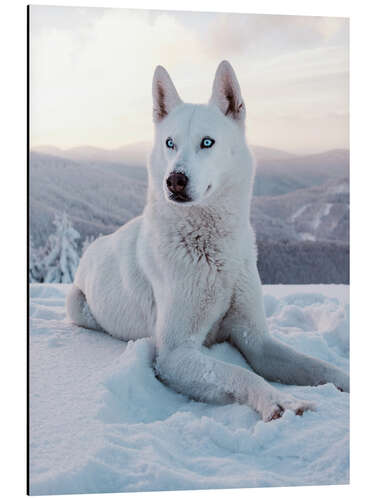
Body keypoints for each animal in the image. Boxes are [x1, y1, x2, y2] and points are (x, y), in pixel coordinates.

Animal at [67, 61, 350, 422]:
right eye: (170, 143)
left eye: (207, 142)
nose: (174, 180)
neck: (212, 250)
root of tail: (96, 244)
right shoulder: (174, 355)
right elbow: (240, 373)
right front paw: (280, 401)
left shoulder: (256, 340)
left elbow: (317, 366)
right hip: (76, 304)